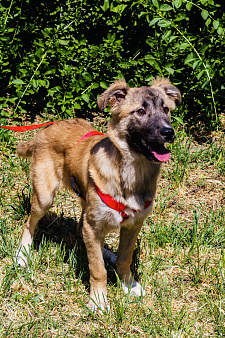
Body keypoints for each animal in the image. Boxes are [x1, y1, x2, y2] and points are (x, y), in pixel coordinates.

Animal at [15, 76, 181, 312]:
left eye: (165, 109)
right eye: (140, 111)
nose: (169, 132)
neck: (130, 174)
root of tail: (47, 128)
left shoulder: (133, 224)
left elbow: (124, 258)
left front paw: (128, 285)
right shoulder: (93, 226)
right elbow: (97, 269)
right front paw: (98, 299)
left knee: (80, 229)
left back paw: (107, 252)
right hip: (44, 196)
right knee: (30, 222)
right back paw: (22, 255)